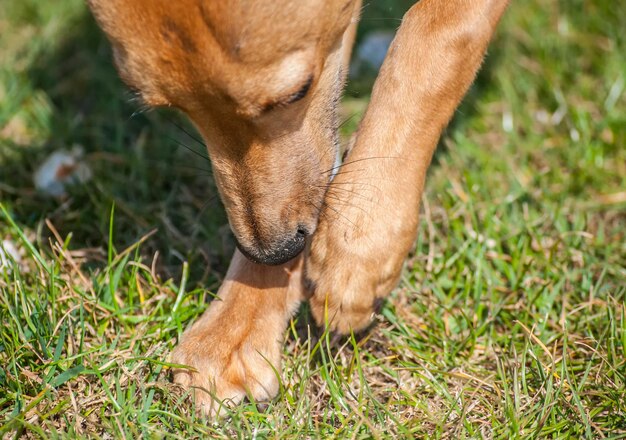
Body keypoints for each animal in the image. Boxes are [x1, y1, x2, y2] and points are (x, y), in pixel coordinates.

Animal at [88, 0, 508, 416]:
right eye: (172, 107)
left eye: (296, 92)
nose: (272, 253)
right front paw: (234, 328)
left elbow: (439, 35)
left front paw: (359, 250)